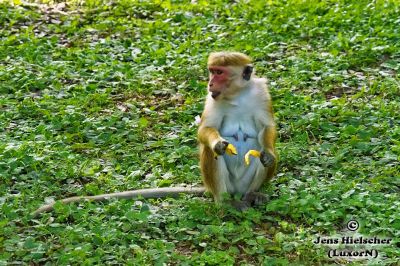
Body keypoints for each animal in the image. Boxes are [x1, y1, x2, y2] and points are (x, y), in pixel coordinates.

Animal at [198, 51, 278, 211]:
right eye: (212, 71)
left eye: (219, 72)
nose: (210, 83)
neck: (237, 95)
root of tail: (237, 191)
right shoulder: (211, 97)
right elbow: (205, 129)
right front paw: (217, 143)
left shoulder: (262, 93)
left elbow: (267, 127)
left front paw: (269, 153)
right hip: (228, 187)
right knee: (211, 152)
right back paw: (225, 202)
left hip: (245, 183)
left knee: (261, 154)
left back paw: (252, 194)